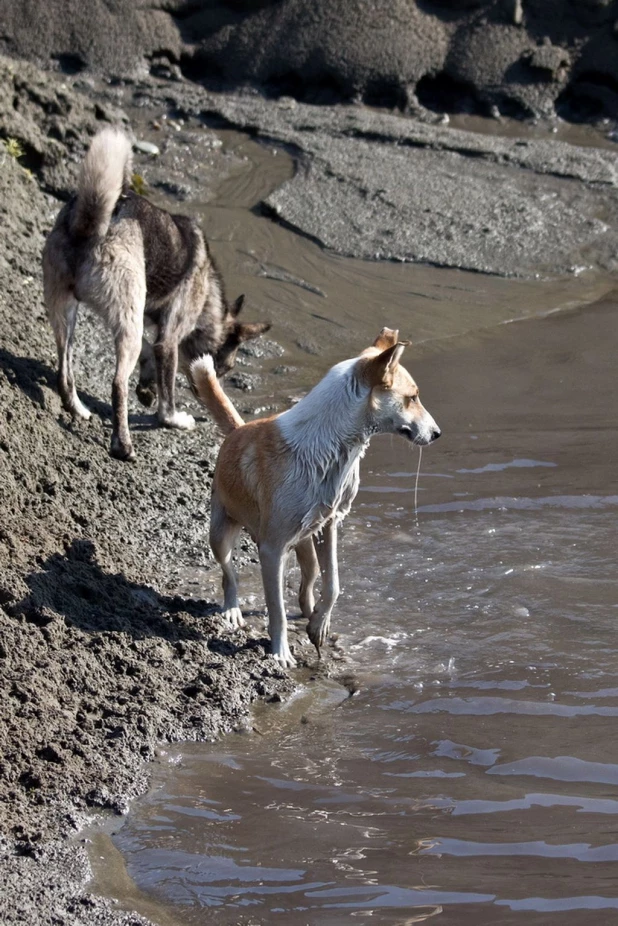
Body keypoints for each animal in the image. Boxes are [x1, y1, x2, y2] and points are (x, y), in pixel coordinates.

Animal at [41, 129, 268, 462]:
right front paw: (173, 418)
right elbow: (166, 394)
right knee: (117, 384)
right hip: (125, 323)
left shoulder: (144, 320)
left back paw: (78, 408)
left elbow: (150, 352)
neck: (208, 295)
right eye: (225, 368)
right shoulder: (169, 339)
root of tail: (91, 223)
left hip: (68, 313)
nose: (210, 394)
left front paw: (147, 384)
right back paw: (122, 443)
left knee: (64, 371)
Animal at [192, 330, 438, 672]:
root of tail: (238, 429)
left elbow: (333, 582)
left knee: (308, 579)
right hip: (221, 534)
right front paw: (280, 653)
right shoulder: (271, 550)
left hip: (306, 540)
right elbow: (276, 610)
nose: (437, 433)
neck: (329, 446)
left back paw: (311, 614)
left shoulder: (329, 524)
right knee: (229, 573)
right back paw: (231, 611)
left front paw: (319, 626)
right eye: (412, 397)